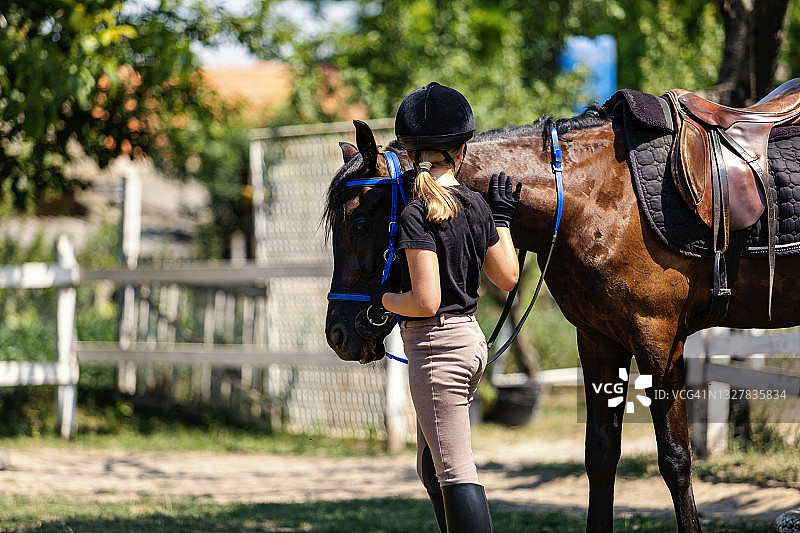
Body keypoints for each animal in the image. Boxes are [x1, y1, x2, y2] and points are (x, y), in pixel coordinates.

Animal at [323, 106, 800, 532]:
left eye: (361, 221)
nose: (338, 335)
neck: (596, 198)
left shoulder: (659, 343)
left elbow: (675, 458)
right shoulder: (598, 342)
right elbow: (601, 455)